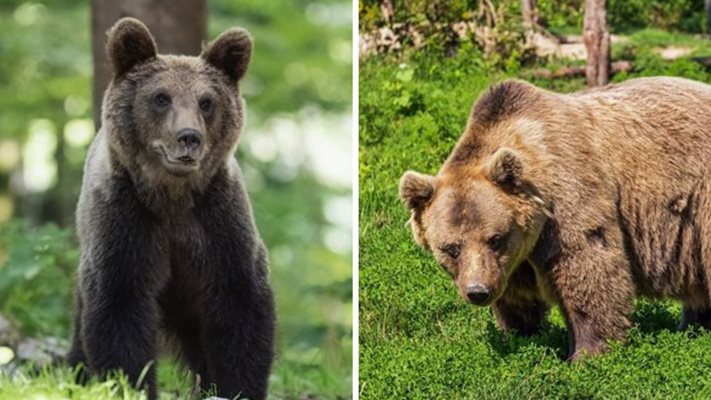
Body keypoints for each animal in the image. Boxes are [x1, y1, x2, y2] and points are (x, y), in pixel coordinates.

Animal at [65, 17, 276, 398]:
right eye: (161, 97)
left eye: (206, 101)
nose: (189, 137)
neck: (172, 197)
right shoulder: (126, 224)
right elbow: (119, 310)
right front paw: (130, 383)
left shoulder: (219, 224)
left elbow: (241, 307)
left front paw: (237, 386)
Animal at [400, 76, 711, 360]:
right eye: (451, 248)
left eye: (495, 239)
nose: (478, 291)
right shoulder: (515, 259)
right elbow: (517, 297)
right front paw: (519, 334)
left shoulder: (569, 199)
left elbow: (588, 269)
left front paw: (587, 353)